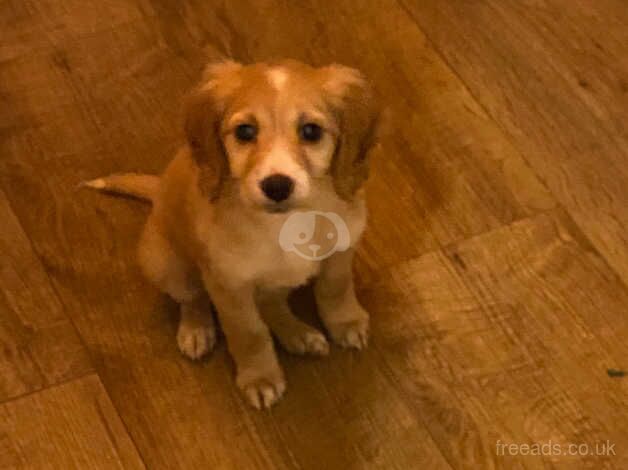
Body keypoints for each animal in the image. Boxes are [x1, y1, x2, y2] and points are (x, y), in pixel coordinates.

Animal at [82, 60, 378, 410]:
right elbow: (249, 332)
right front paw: (260, 378)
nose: (277, 186)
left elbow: (336, 288)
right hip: (164, 264)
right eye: (245, 132)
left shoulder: (342, 248)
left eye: (311, 131)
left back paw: (298, 334)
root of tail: (157, 194)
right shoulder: (229, 284)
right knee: (192, 298)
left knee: (270, 302)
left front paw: (346, 322)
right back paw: (197, 329)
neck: (285, 222)